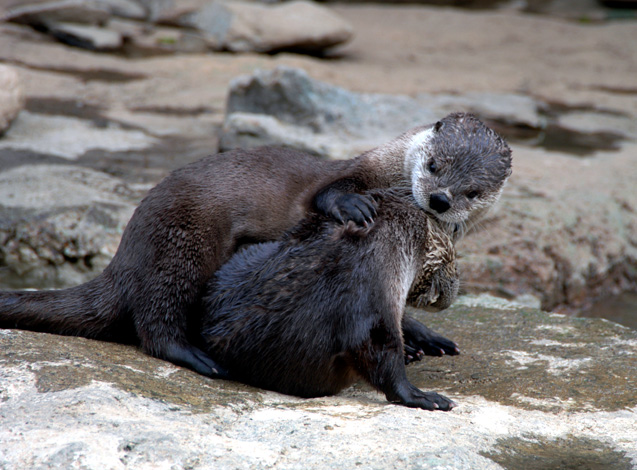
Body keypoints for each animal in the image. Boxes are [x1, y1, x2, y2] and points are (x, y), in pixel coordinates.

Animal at [0, 112, 510, 376]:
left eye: (473, 191)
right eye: (435, 164)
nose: (440, 199)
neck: (387, 178)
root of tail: (124, 256)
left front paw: (422, 337)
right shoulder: (341, 180)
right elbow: (326, 195)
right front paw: (353, 205)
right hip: (181, 245)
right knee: (156, 323)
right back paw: (200, 358)